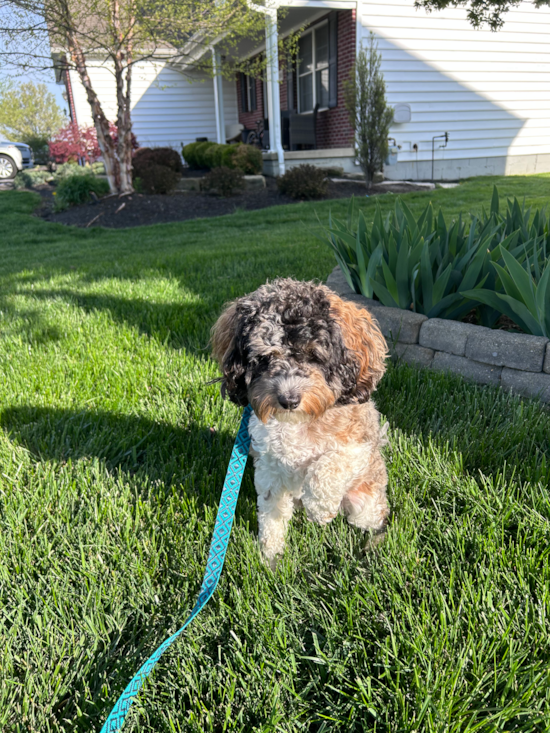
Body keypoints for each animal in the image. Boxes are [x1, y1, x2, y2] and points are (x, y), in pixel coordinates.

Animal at [212, 278, 392, 564]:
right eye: (265, 357)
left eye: (313, 355)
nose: (288, 399)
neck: (299, 422)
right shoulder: (270, 468)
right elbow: (271, 514)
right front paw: (270, 556)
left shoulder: (360, 445)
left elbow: (329, 465)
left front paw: (319, 508)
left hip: (365, 503)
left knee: (378, 521)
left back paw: (372, 545)